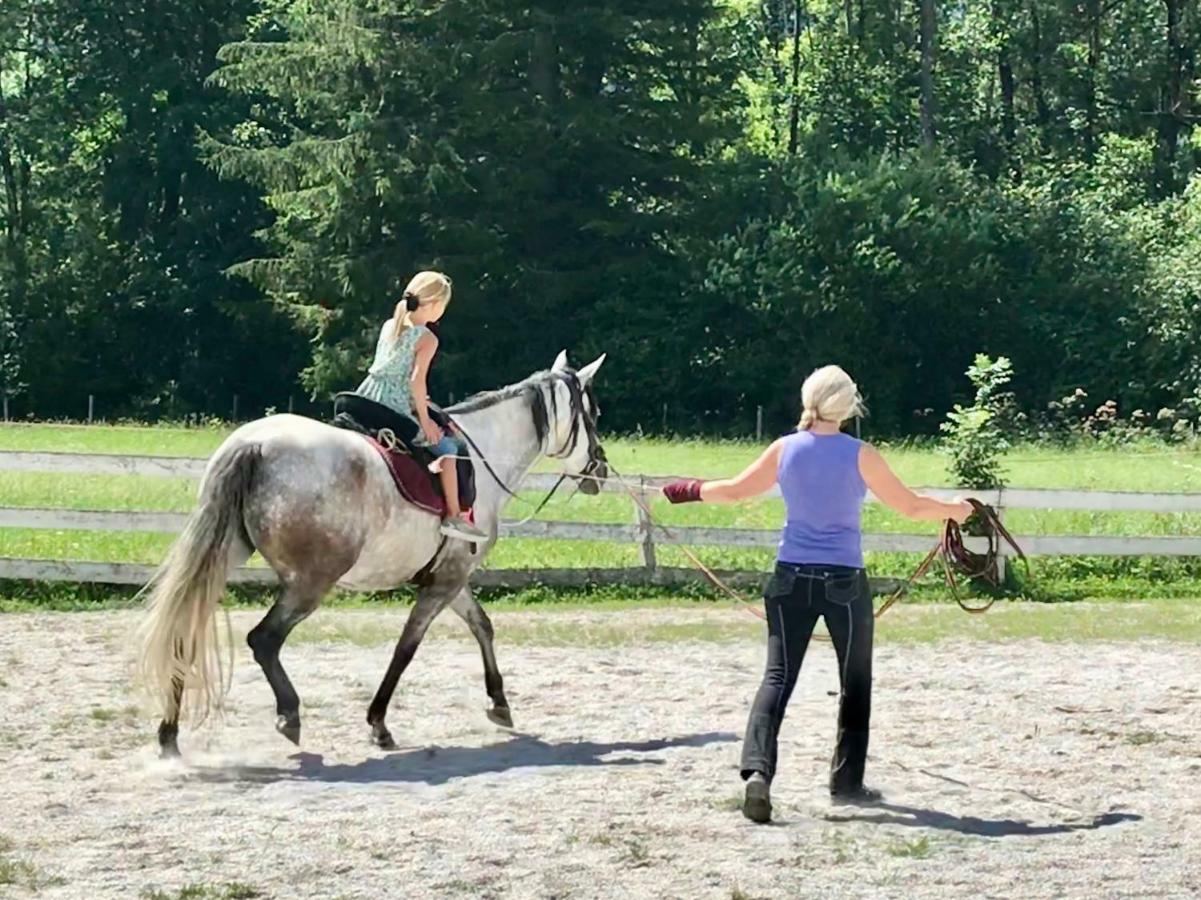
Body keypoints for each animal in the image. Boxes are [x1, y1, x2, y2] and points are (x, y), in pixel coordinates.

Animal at [140, 348, 610, 754]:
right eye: (593, 415)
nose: (601, 470)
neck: (481, 456)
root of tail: (254, 445)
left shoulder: (451, 577)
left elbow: (482, 626)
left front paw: (499, 702)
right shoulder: (444, 583)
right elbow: (407, 647)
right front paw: (378, 722)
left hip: (223, 558)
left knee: (184, 632)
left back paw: (169, 734)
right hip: (310, 583)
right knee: (264, 640)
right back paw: (289, 715)